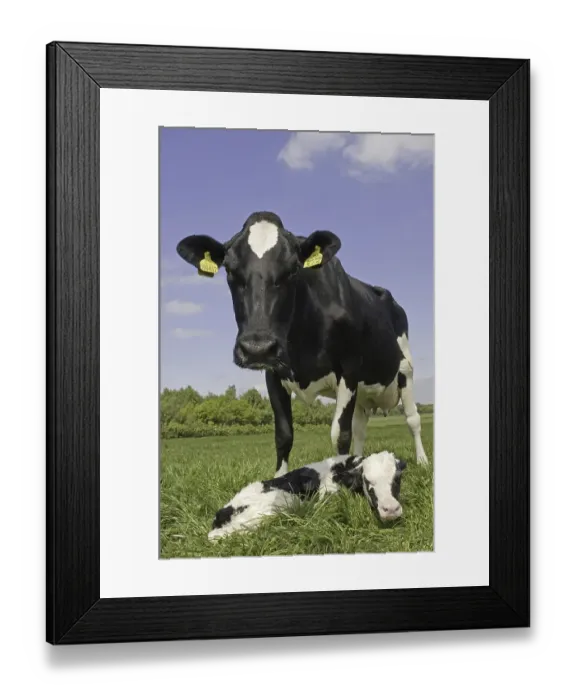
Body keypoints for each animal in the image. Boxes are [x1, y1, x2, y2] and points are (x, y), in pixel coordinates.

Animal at [177, 211, 429, 476]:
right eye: (229, 270)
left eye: (293, 270)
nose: (257, 348)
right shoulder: (273, 373)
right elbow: (284, 435)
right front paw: (279, 478)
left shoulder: (349, 369)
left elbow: (340, 434)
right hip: (364, 392)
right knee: (361, 428)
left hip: (405, 372)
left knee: (412, 419)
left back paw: (422, 461)